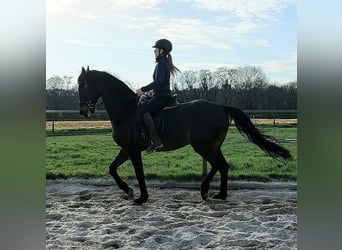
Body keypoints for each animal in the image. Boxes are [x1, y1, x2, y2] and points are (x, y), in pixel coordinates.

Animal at [77, 67, 292, 205]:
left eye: (84, 85)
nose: (83, 111)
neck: (126, 110)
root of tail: (221, 107)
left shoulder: (132, 150)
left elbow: (139, 173)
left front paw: (141, 197)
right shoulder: (126, 149)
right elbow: (112, 168)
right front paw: (128, 190)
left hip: (202, 146)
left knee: (219, 165)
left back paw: (208, 192)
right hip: (212, 146)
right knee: (222, 166)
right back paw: (217, 194)